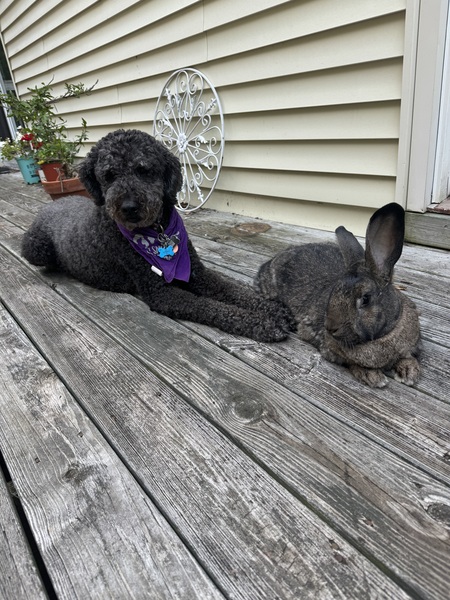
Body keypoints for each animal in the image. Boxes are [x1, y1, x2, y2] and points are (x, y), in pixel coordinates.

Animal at [22, 128, 296, 340]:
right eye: (109, 175)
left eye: (144, 170)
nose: (129, 207)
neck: (158, 231)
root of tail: (47, 208)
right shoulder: (160, 293)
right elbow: (209, 306)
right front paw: (262, 322)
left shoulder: (197, 273)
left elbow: (231, 289)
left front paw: (273, 309)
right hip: (35, 249)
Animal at [256, 203, 422, 390]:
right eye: (334, 290)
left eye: (365, 299)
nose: (330, 328)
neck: (383, 337)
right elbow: (351, 363)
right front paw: (373, 376)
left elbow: (407, 356)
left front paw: (409, 372)